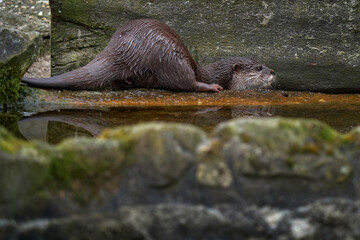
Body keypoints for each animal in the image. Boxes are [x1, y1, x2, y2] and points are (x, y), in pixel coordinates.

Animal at [22, 18, 276, 92]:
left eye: (264, 64)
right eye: (258, 68)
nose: (273, 71)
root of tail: (124, 48)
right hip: (169, 55)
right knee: (184, 82)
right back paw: (211, 88)